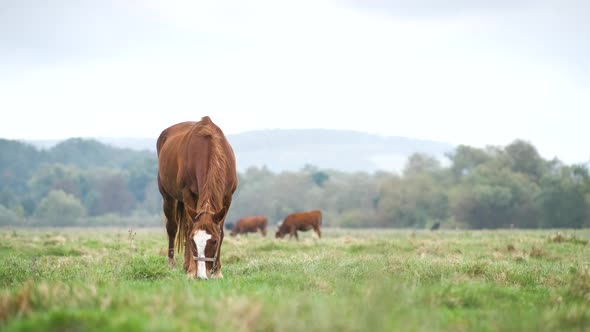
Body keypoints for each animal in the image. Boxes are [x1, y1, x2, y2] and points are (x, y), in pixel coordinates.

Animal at [160, 116, 240, 280]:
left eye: (214, 241)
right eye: (193, 241)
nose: (202, 275)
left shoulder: (228, 197)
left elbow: (221, 230)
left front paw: (217, 271)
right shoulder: (188, 194)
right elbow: (190, 228)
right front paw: (192, 270)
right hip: (168, 197)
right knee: (173, 227)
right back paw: (173, 264)